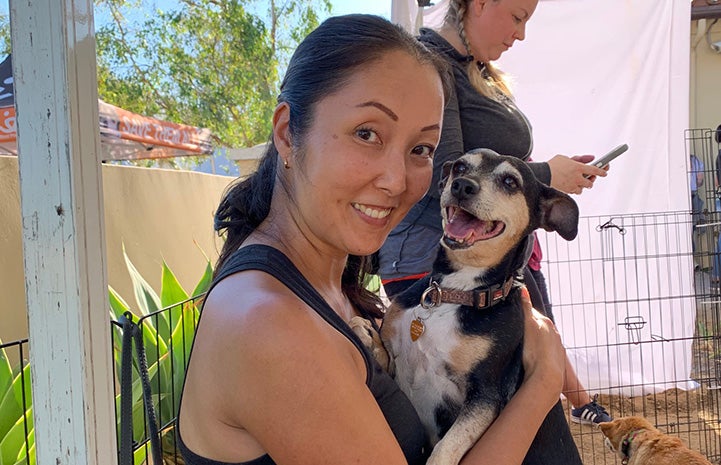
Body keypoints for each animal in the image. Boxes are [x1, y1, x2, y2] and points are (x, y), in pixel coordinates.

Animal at [354, 149, 584, 464]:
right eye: (461, 167)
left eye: (511, 181)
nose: (462, 186)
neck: (453, 292)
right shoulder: (396, 365)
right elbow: (380, 350)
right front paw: (361, 329)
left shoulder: (486, 395)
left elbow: (444, 448)